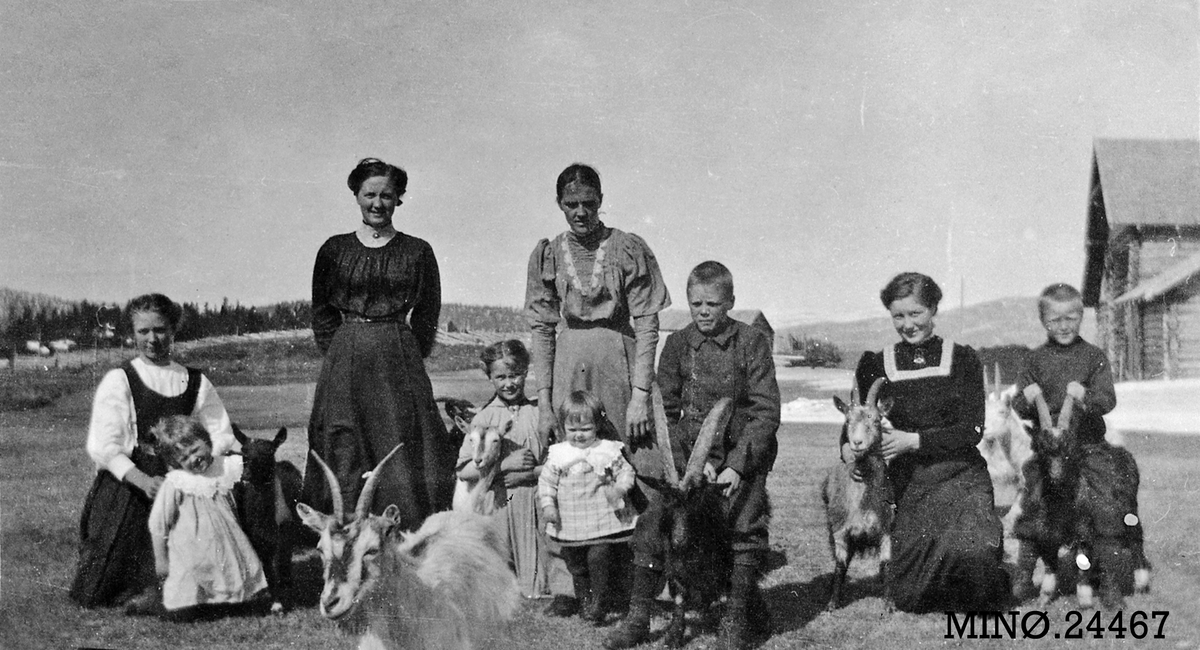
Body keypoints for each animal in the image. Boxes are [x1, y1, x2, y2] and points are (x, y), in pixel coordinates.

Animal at [232, 424, 302, 614]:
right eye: (243, 451)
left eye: (269, 452)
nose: (246, 476)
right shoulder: (257, 538)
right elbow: (268, 569)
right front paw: (276, 603)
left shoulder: (284, 534)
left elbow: (280, 564)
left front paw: (283, 599)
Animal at [652, 395, 734, 647]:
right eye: (667, 503)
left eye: (695, 504)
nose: (678, 541)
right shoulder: (674, 569)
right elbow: (679, 598)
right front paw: (673, 636)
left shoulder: (721, 567)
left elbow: (724, 597)